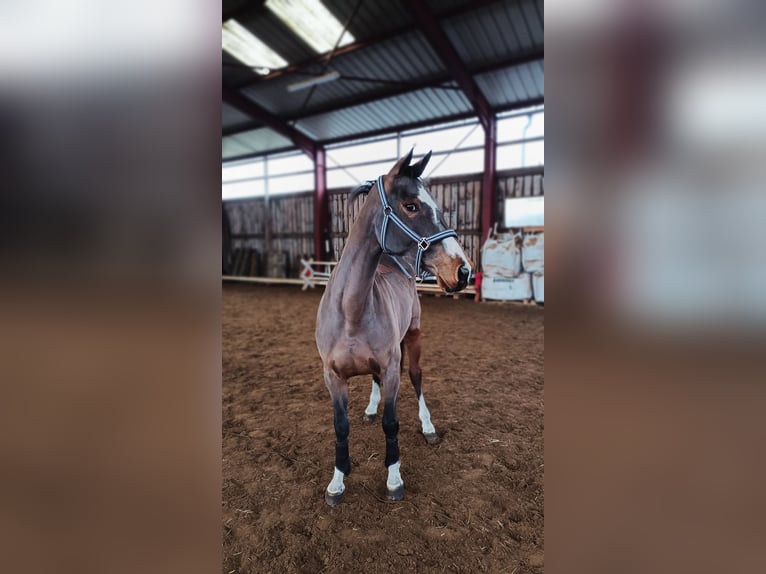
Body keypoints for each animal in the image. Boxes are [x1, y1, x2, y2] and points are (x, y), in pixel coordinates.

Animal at [315, 149, 472, 506]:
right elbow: (340, 426)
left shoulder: (391, 369)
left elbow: (391, 423)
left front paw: (394, 479)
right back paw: (371, 408)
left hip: (413, 337)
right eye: (411, 206)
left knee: (416, 376)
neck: (351, 311)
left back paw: (428, 427)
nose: (464, 270)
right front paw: (337, 481)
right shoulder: (333, 376)